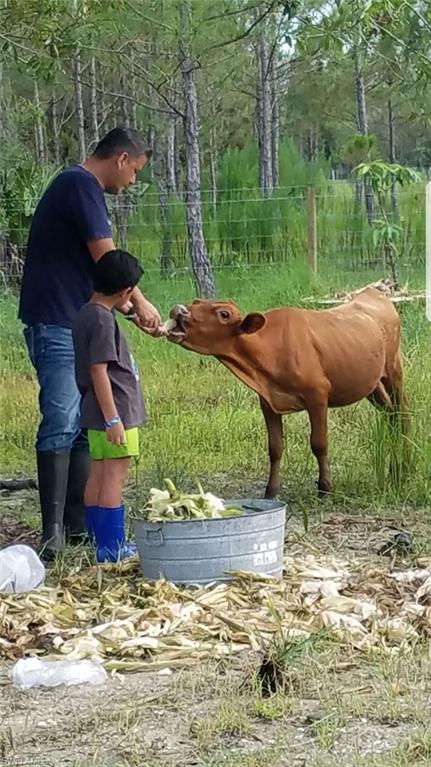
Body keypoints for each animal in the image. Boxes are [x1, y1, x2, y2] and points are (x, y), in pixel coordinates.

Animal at [166, 287, 408, 498]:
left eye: (223, 314)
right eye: (196, 301)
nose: (178, 310)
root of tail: (373, 292)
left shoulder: (318, 394)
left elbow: (319, 443)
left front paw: (325, 488)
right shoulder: (267, 402)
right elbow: (275, 448)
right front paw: (271, 491)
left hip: (393, 368)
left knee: (403, 412)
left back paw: (403, 466)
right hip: (372, 383)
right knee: (391, 414)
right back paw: (395, 466)